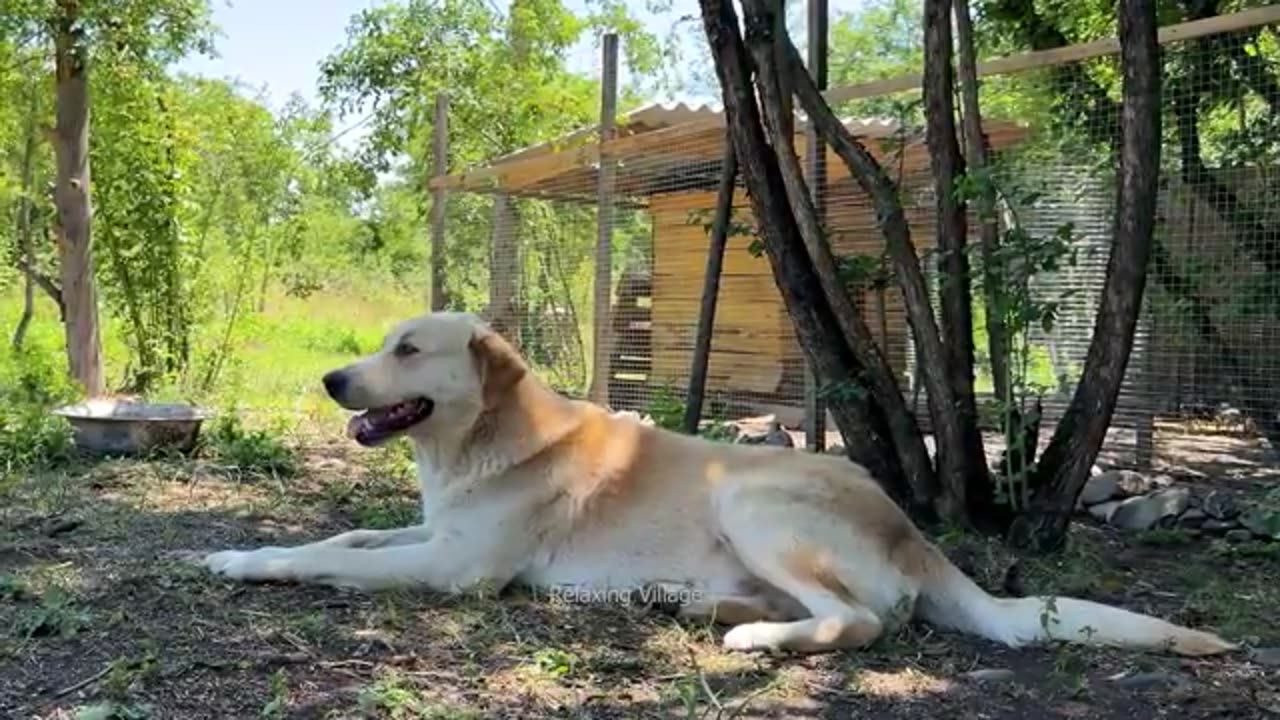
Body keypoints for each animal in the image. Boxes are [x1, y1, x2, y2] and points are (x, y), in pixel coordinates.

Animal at [204, 311, 1233, 653]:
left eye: (410, 351)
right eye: (384, 343)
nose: (331, 380)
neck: (485, 439)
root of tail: (913, 534)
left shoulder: (455, 569)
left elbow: (321, 560)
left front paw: (242, 561)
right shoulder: (430, 534)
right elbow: (344, 537)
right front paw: (238, 547)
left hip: (749, 496)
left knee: (861, 621)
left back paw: (752, 638)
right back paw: (699, 606)